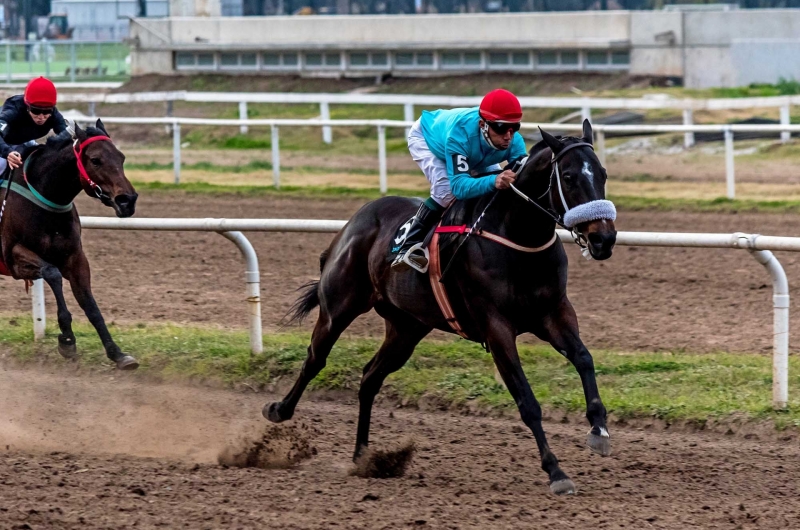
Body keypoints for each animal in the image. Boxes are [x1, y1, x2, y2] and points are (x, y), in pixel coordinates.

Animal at [0, 119, 139, 368]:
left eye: (121, 157)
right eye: (95, 159)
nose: (128, 201)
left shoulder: (76, 258)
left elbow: (90, 306)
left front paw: (117, 353)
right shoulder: (13, 255)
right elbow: (52, 273)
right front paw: (66, 338)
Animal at [266, 119, 616, 490]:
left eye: (602, 173)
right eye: (568, 176)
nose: (603, 239)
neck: (517, 238)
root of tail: (353, 223)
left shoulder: (554, 312)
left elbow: (584, 358)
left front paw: (599, 430)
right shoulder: (496, 328)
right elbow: (527, 401)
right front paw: (556, 471)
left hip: (406, 328)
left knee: (370, 377)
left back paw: (364, 456)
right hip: (339, 306)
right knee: (315, 359)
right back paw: (279, 410)